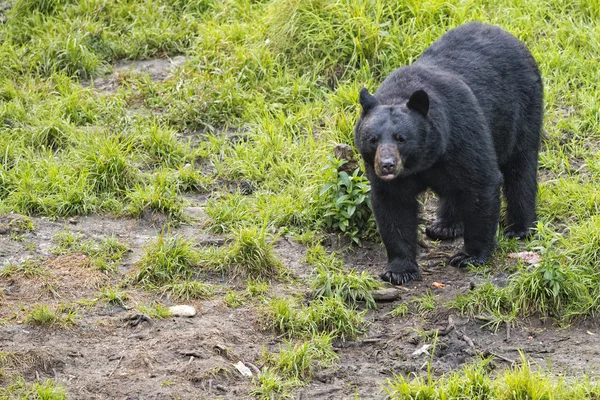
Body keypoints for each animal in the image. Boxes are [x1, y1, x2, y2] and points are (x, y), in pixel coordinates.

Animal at [354, 22, 540, 284]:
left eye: (401, 138)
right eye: (373, 139)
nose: (387, 165)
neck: (424, 159)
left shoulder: (462, 132)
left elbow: (481, 183)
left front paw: (470, 256)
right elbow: (393, 206)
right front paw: (399, 270)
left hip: (522, 110)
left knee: (520, 168)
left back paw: (519, 228)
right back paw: (445, 226)